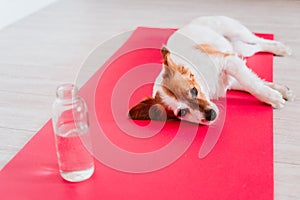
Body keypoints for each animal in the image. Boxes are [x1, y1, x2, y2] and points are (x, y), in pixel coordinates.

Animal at [127, 16, 294, 125]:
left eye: (194, 91)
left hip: (237, 32)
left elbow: (252, 84)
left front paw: (272, 98)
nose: (210, 115)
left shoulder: (228, 61)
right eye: (182, 112)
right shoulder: (231, 75)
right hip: (241, 48)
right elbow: (254, 81)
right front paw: (279, 91)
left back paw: (280, 48)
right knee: (256, 47)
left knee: (259, 40)